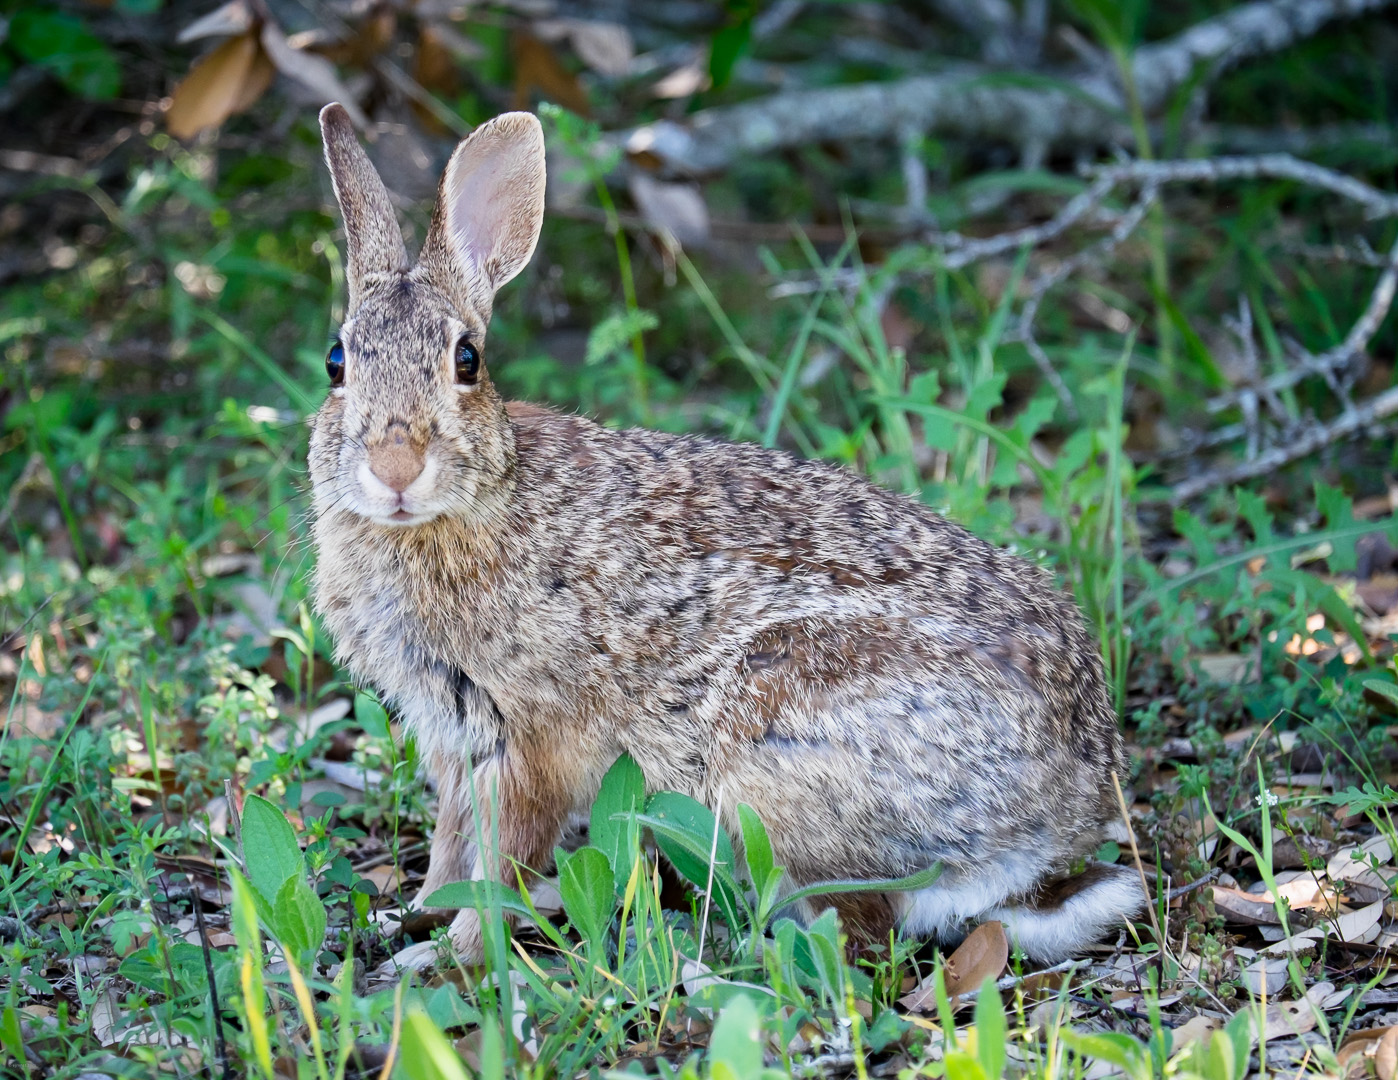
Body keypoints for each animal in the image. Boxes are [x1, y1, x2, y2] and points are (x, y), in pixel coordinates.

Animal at [308, 103, 1146, 966]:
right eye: (337, 362)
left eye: (467, 360)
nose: (395, 468)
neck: (479, 501)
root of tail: (1065, 812)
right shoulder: (452, 740)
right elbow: (450, 848)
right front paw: (412, 918)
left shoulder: (532, 742)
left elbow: (502, 863)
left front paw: (450, 955)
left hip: (774, 753)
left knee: (863, 931)